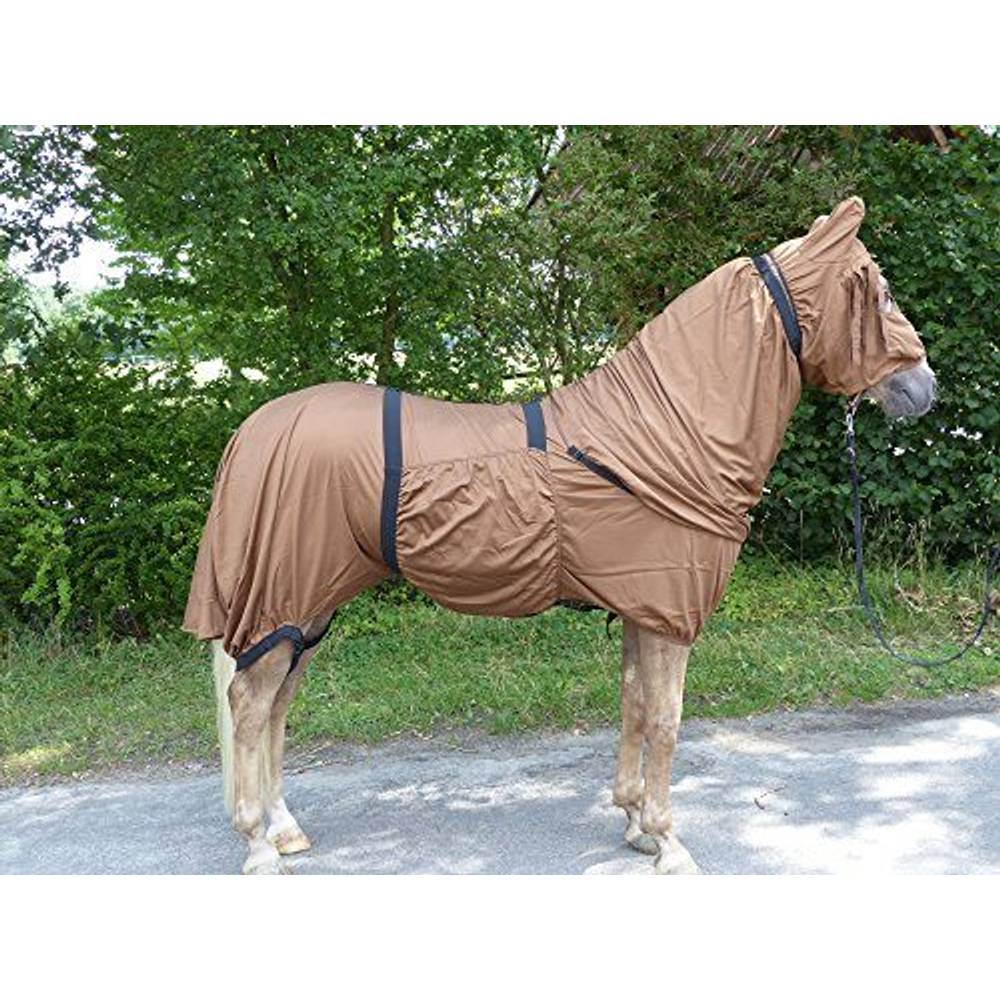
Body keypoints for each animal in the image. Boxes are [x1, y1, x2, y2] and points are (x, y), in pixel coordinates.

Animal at [184, 196, 937, 874]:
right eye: (881, 292)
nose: (924, 388)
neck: (666, 434)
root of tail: (257, 429)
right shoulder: (668, 616)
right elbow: (666, 720)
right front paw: (669, 842)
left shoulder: (641, 608)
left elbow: (634, 706)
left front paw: (634, 823)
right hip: (288, 600)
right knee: (250, 705)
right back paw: (258, 846)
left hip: (306, 608)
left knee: (275, 706)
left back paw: (284, 828)